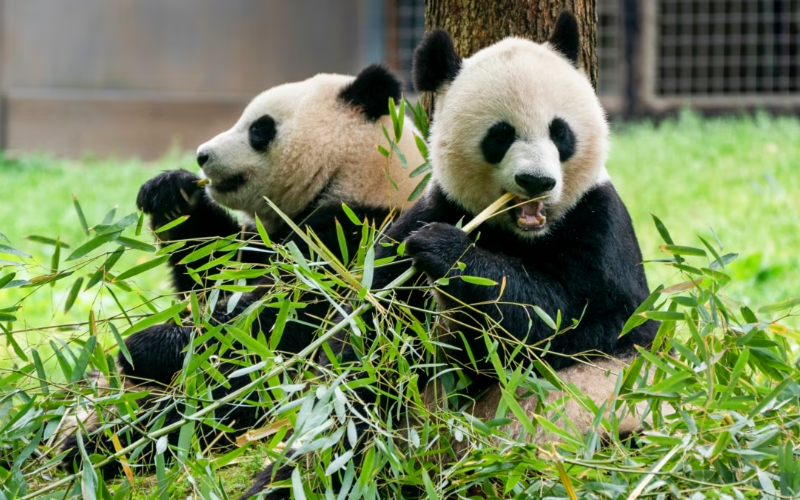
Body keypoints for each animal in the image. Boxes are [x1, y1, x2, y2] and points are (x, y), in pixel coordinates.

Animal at [59, 64, 425, 478]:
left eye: (259, 129)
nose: (201, 155)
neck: (360, 174)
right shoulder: (271, 238)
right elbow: (212, 272)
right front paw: (171, 194)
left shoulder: (356, 239)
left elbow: (278, 324)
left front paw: (143, 346)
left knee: (211, 409)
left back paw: (99, 447)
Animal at [237, 12, 657, 500]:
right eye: (501, 135)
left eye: (560, 132)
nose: (536, 182)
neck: (521, 234)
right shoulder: (429, 211)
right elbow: (371, 340)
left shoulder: (600, 226)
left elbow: (577, 321)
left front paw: (447, 251)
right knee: (350, 440)